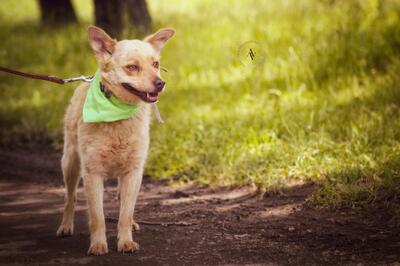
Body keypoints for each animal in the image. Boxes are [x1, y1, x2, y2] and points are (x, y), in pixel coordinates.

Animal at [55, 25, 174, 256]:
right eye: (132, 67)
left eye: (155, 64)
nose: (160, 83)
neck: (118, 115)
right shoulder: (92, 173)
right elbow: (97, 217)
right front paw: (98, 244)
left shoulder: (134, 171)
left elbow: (125, 213)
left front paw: (126, 241)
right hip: (70, 163)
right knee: (70, 197)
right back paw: (65, 225)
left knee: (122, 201)